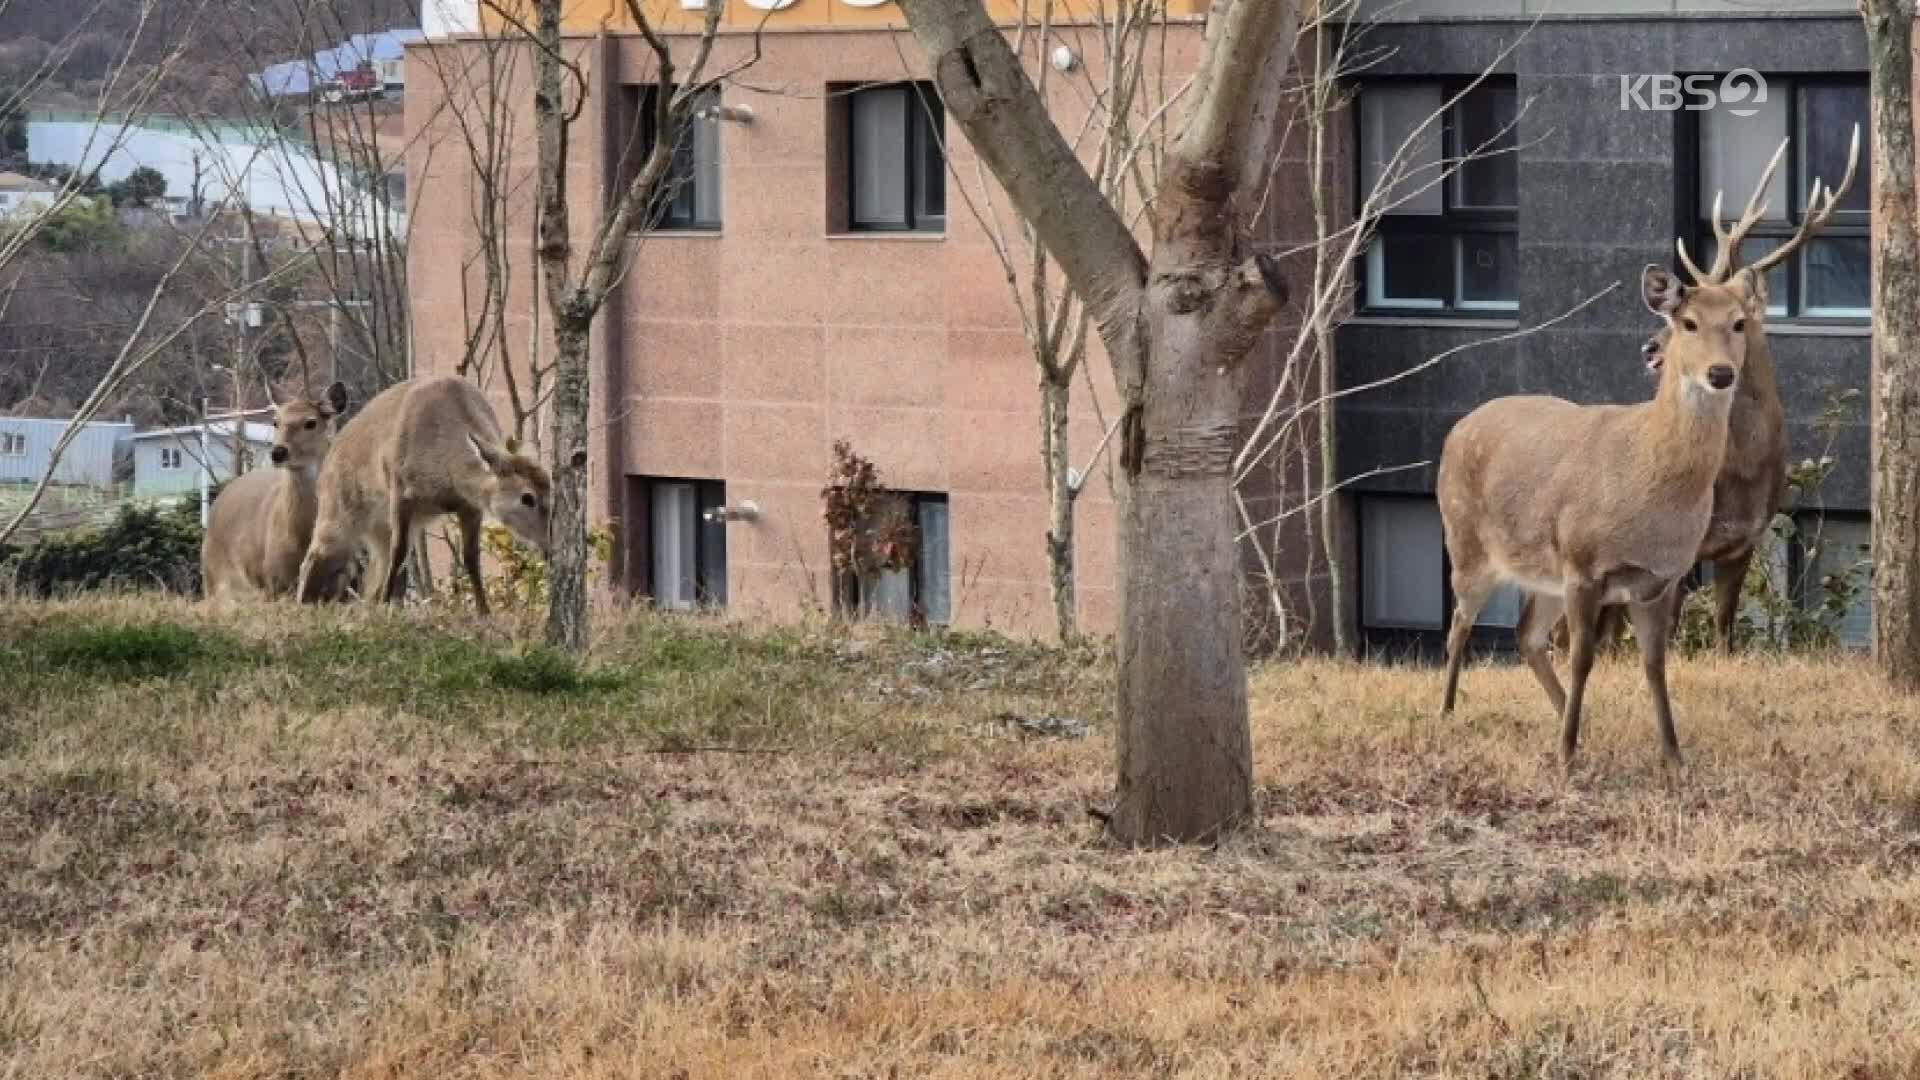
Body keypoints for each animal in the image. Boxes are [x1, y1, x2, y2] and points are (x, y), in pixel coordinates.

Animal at [203, 380, 353, 599]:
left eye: (311, 422)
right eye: (276, 422)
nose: (278, 452)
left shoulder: (342, 577)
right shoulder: (270, 578)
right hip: (213, 576)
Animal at [293, 372, 560, 611]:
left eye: (551, 492)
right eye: (527, 498)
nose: (549, 546)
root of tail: (329, 456)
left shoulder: (470, 505)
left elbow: (471, 559)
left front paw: (484, 613)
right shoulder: (400, 490)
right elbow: (399, 553)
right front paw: (385, 606)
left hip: (380, 527)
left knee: (375, 566)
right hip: (338, 504)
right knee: (314, 555)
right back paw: (305, 602)